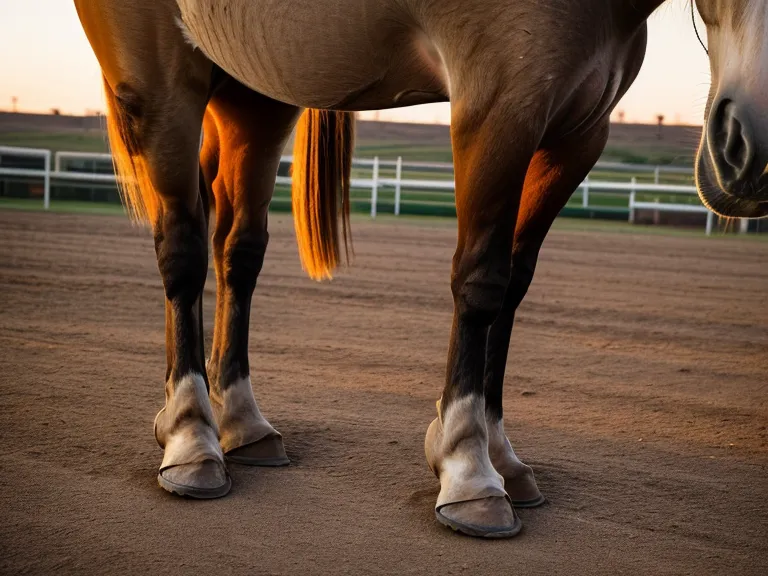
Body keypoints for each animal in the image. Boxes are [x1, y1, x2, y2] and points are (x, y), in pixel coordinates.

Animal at [73, 0, 767, 538]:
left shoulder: (579, 134)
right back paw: (192, 436)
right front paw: (468, 467)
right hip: (163, 84)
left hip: (254, 98)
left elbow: (513, 285)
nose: (747, 148)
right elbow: (481, 283)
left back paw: (241, 420)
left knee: (237, 250)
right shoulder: (499, 105)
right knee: (183, 249)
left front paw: (501, 455)